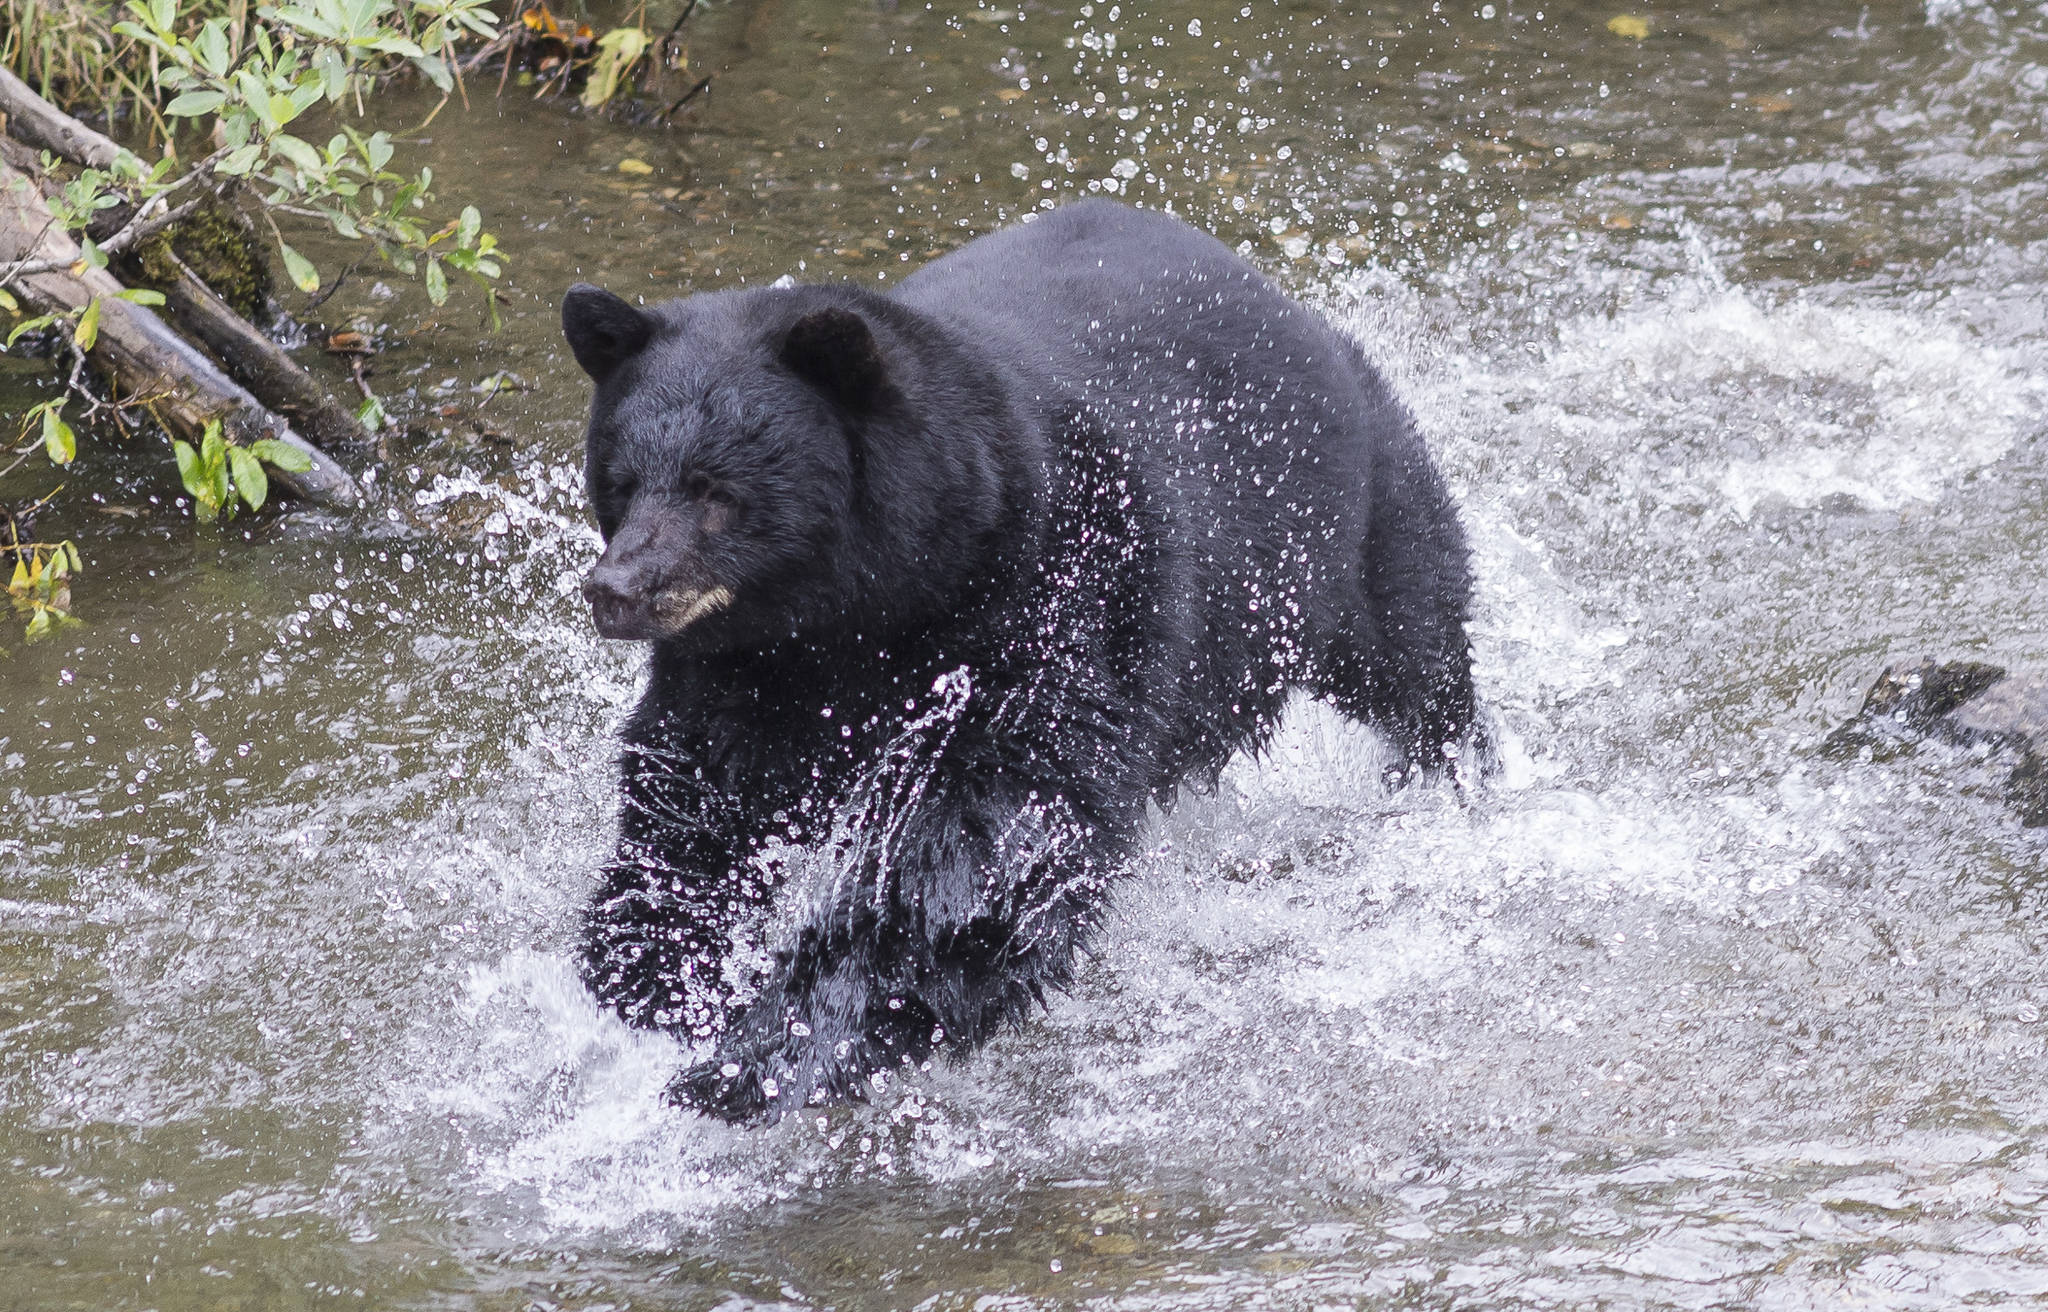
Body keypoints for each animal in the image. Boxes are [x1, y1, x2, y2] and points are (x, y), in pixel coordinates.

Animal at [565, 199, 1474, 1121]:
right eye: (621, 481)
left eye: (714, 490)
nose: (616, 588)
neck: (868, 610)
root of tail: (1279, 297)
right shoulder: (739, 673)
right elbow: (688, 811)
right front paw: (653, 980)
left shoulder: (1046, 606)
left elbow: (986, 853)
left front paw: (771, 1053)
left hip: (1348, 525)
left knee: (1419, 653)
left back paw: (1453, 777)